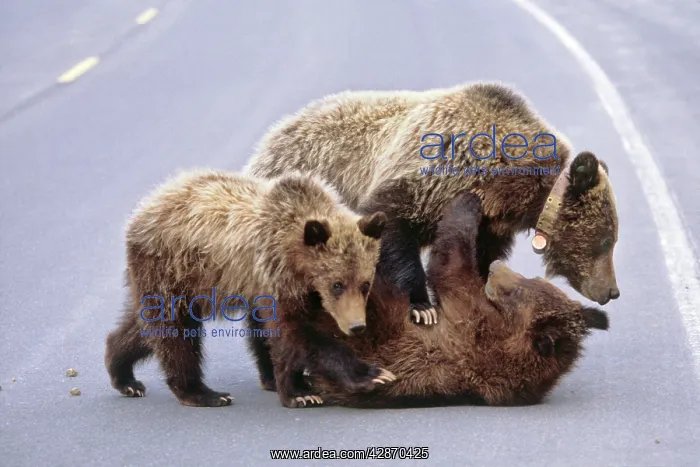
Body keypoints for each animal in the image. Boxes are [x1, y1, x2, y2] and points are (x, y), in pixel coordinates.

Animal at [104, 169, 390, 407]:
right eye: (337, 284)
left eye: (365, 284)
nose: (357, 326)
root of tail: (146, 204)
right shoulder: (275, 275)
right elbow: (295, 333)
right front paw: (368, 375)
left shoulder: (296, 290)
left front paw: (295, 384)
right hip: (170, 266)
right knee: (173, 329)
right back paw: (202, 392)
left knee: (144, 325)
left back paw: (123, 373)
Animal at [243, 81, 621, 326]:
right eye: (606, 241)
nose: (612, 291)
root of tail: (269, 139)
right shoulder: (429, 178)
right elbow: (392, 230)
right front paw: (422, 305)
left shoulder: (486, 222)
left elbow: (477, 259)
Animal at [300, 192, 610, 408]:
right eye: (533, 278)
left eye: (517, 290)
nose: (496, 266)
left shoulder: (471, 322)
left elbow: (450, 265)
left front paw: (469, 202)